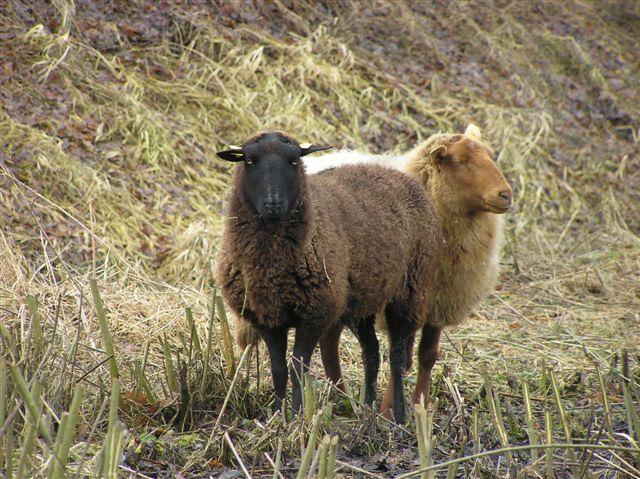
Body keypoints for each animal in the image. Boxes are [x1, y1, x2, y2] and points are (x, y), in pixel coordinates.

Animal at [214, 131, 440, 420]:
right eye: (250, 161)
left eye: (294, 161)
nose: (273, 204)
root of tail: (393, 171)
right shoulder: (267, 316)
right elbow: (278, 369)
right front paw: (277, 415)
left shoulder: (315, 314)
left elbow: (298, 367)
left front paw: (297, 416)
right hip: (361, 300)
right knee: (372, 353)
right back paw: (367, 409)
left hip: (409, 292)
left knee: (398, 359)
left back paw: (397, 417)